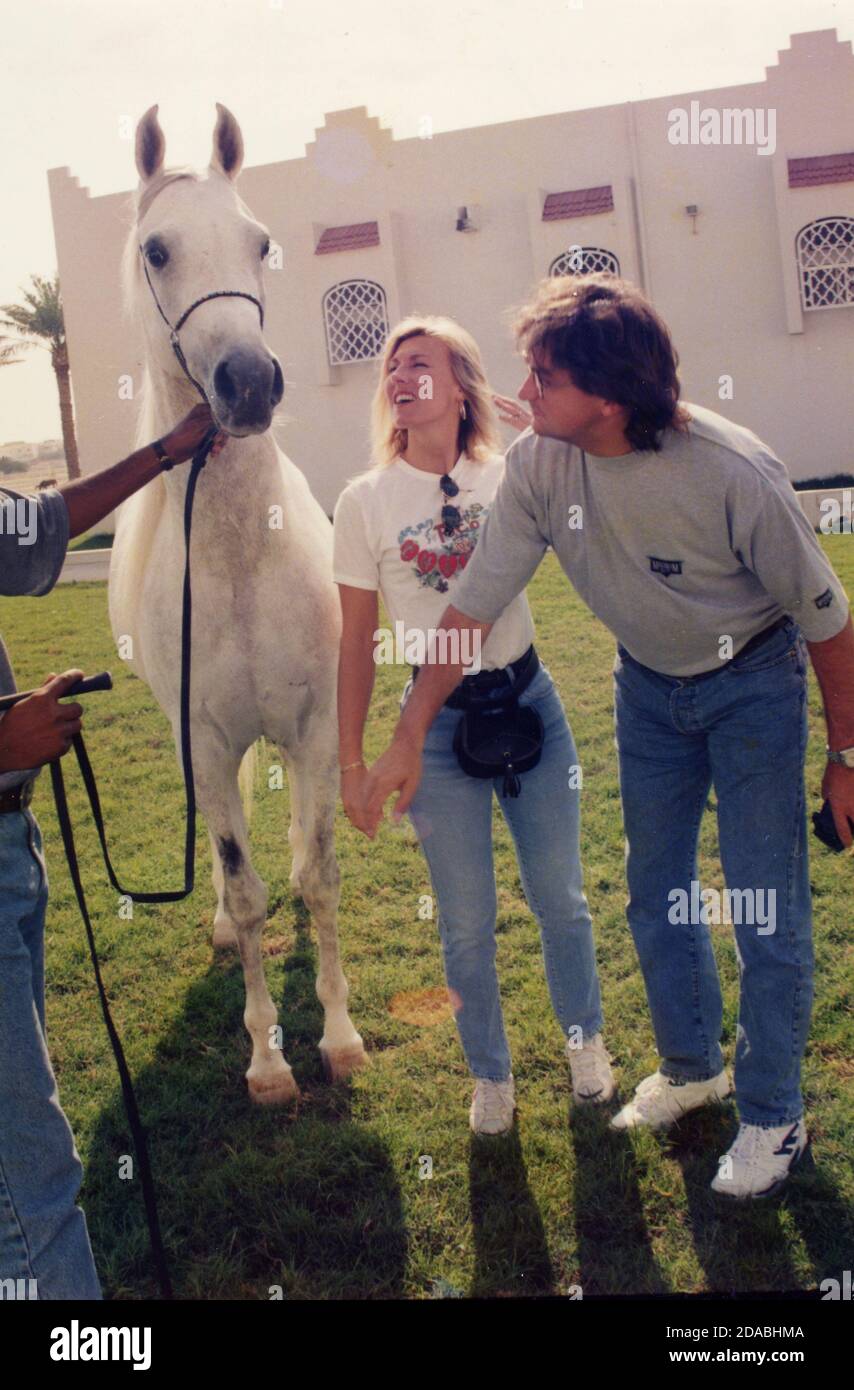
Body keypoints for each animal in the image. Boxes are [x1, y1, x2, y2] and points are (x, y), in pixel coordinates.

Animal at [108, 105, 367, 1106]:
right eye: (157, 250)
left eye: (260, 243)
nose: (249, 382)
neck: (243, 561)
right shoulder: (210, 743)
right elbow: (248, 886)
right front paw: (268, 1060)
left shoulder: (318, 728)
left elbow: (319, 874)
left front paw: (339, 1036)